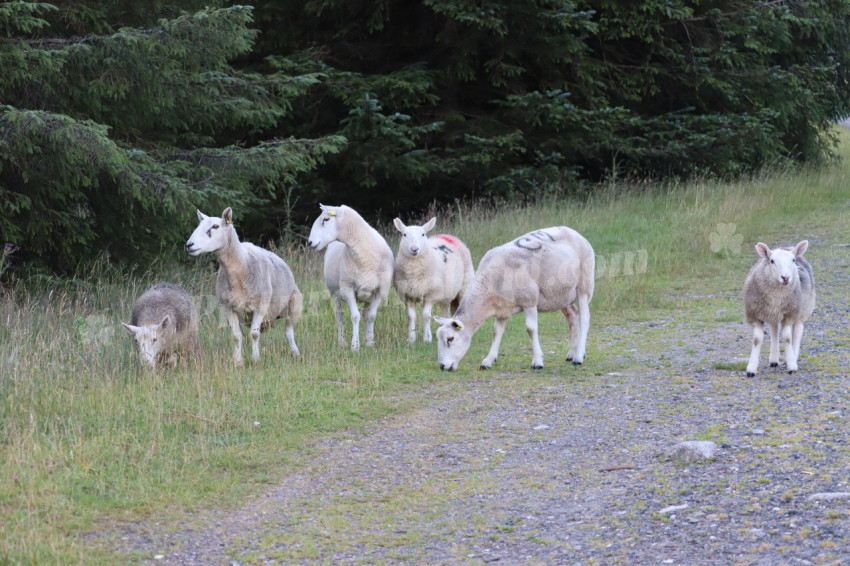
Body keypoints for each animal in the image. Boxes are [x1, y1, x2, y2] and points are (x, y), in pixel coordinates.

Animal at [185, 210, 302, 368]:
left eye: (215, 226)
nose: (189, 245)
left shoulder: (261, 306)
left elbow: (254, 334)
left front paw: (256, 359)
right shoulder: (227, 308)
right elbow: (236, 336)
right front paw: (238, 362)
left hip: (294, 304)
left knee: (288, 332)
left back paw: (295, 353)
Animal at [308, 204, 394, 350]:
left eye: (326, 219)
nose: (309, 242)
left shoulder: (379, 290)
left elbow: (371, 316)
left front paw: (370, 342)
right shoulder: (347, 289)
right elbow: (355, 317)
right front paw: (355, 345)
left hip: (367, 295)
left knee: (365, 315)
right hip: (334, 292)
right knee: (339, 315)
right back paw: (342, 341)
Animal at [434, 226, 592, 372]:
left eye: (450, 339)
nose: (442, 366)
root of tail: (572, 231)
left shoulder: (529, 300)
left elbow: (531, 329)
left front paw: (537, 361)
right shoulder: (502, 307)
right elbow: (497, 332)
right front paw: (488, 360)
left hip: (584, 284)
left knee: (584, 318)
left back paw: (578, 357)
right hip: (561, 295)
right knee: (572, 316)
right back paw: (571, 353)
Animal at [744, 240, 816, 378]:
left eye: (793, 260)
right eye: (772, 261)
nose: (785, 278)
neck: (776, 295)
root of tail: (787, 247)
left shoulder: (789, 314)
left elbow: (787, 338)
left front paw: (791, 365)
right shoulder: (755, 315)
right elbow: (757, 340)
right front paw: (751, 369)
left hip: (802, 309)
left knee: (797, 330)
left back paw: (794, 356)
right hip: (774, 313)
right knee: (774, 329)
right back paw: (773, 359)